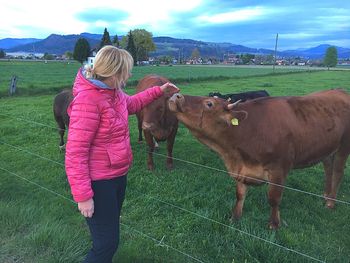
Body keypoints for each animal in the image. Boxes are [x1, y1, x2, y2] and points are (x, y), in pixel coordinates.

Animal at [168, 89, 350, 229]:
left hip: (343, 146)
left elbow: (274, 198)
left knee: (338, 172)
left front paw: (274, 225)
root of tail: (340, 91)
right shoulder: (242, 169)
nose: (176, 95)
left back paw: (330, 203)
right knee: (328, 168)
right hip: (327, 148)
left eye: (209, 104)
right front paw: (235, 217)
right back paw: (326, 194)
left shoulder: (278, 169)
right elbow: (240, 194)